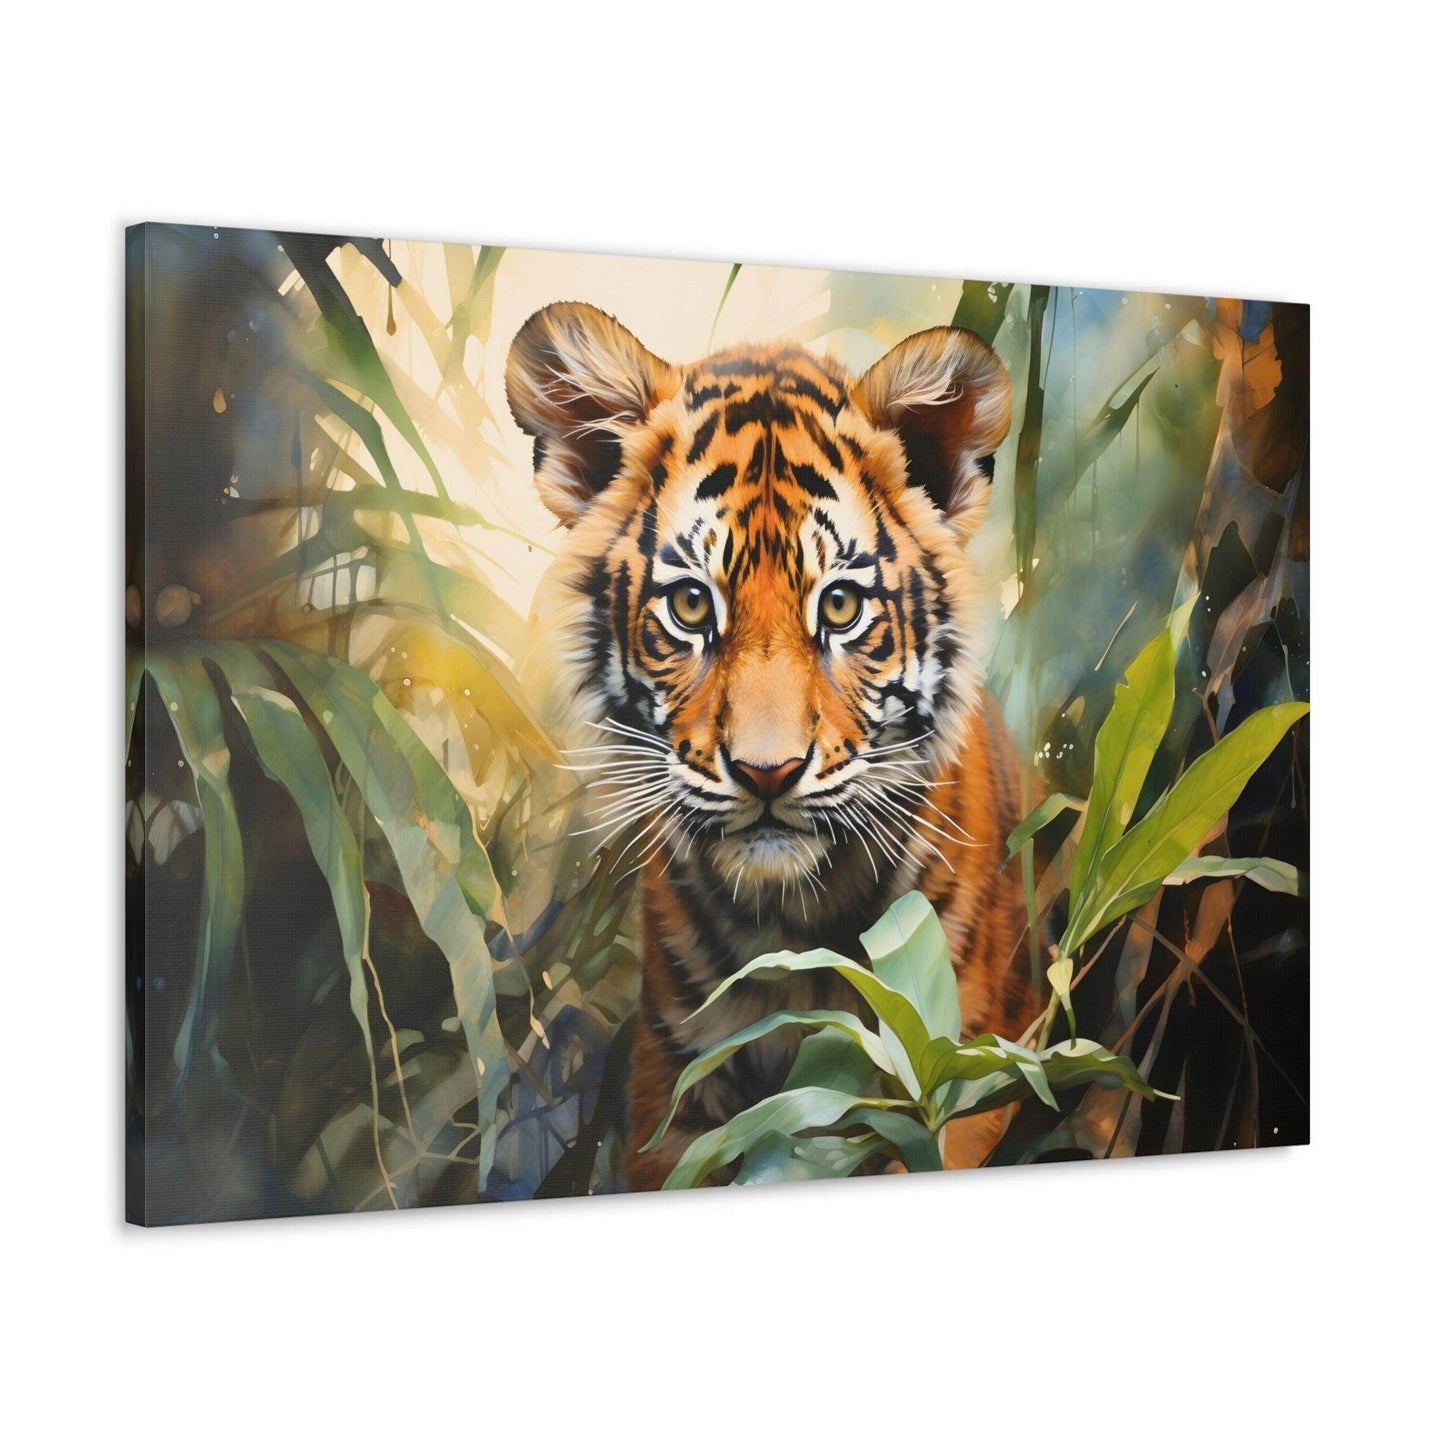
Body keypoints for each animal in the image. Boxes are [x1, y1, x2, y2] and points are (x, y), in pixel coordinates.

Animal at [506, 301, 1032, 1190]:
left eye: (841, 605)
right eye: (689, 605)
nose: (766, 772)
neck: (792, 928)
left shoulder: (957, 1081)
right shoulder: (673, 1089)